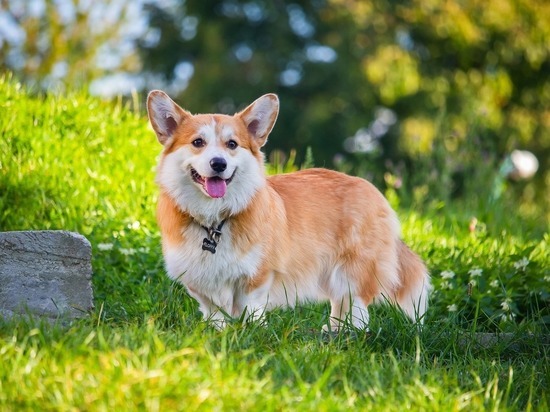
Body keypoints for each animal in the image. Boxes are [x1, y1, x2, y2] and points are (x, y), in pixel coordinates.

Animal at [147, 91, 432, 332]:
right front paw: (218, 333)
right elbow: (214, 312)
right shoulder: (200, 282)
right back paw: (334, 331)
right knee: (340, 303)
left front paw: (253, 332)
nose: (219, 164)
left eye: (232, 144)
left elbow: (250, 308)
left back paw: (350, 335)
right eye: (198, 142)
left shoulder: (257, 277)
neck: (216, 220)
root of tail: (373, 190)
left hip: (354, 270)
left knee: (357, 306)